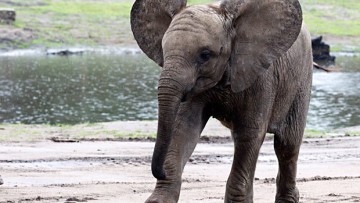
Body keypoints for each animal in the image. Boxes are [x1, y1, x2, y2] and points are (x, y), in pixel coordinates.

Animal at [130, 0, 312, 201]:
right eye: (163, 50)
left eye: (205, 54)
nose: (159, 171)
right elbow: (183, 127)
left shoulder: (262, 78)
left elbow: (250, 133)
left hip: (302, 79)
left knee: (287, 145)